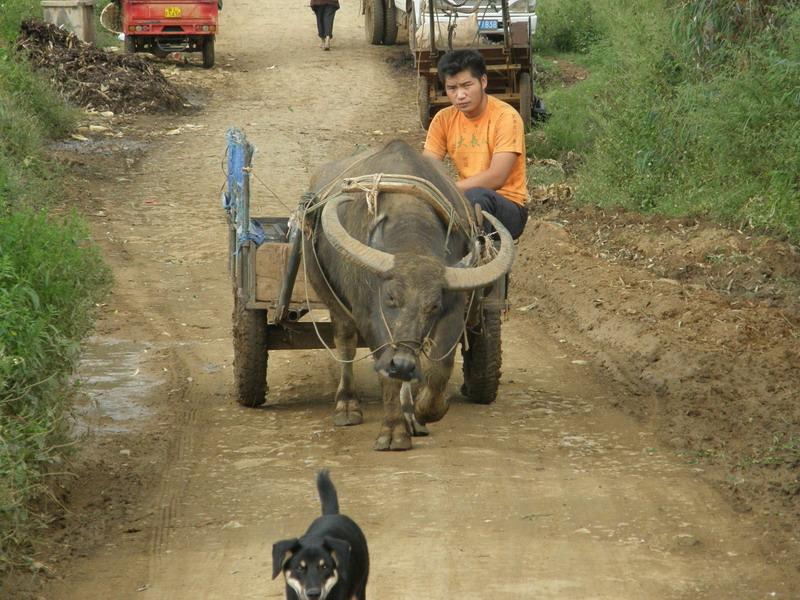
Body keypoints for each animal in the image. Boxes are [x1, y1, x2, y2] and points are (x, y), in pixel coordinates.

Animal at [300, 141, 512, 450]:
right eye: (390, 298)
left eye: (433, 306)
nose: (401, 364)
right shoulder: (368, 315)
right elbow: (385, 372)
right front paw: (394, 431)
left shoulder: (454, 310)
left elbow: (439, 368)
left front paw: (423, 411)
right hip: (331, 298)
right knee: (345, 342)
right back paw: (347, 405)